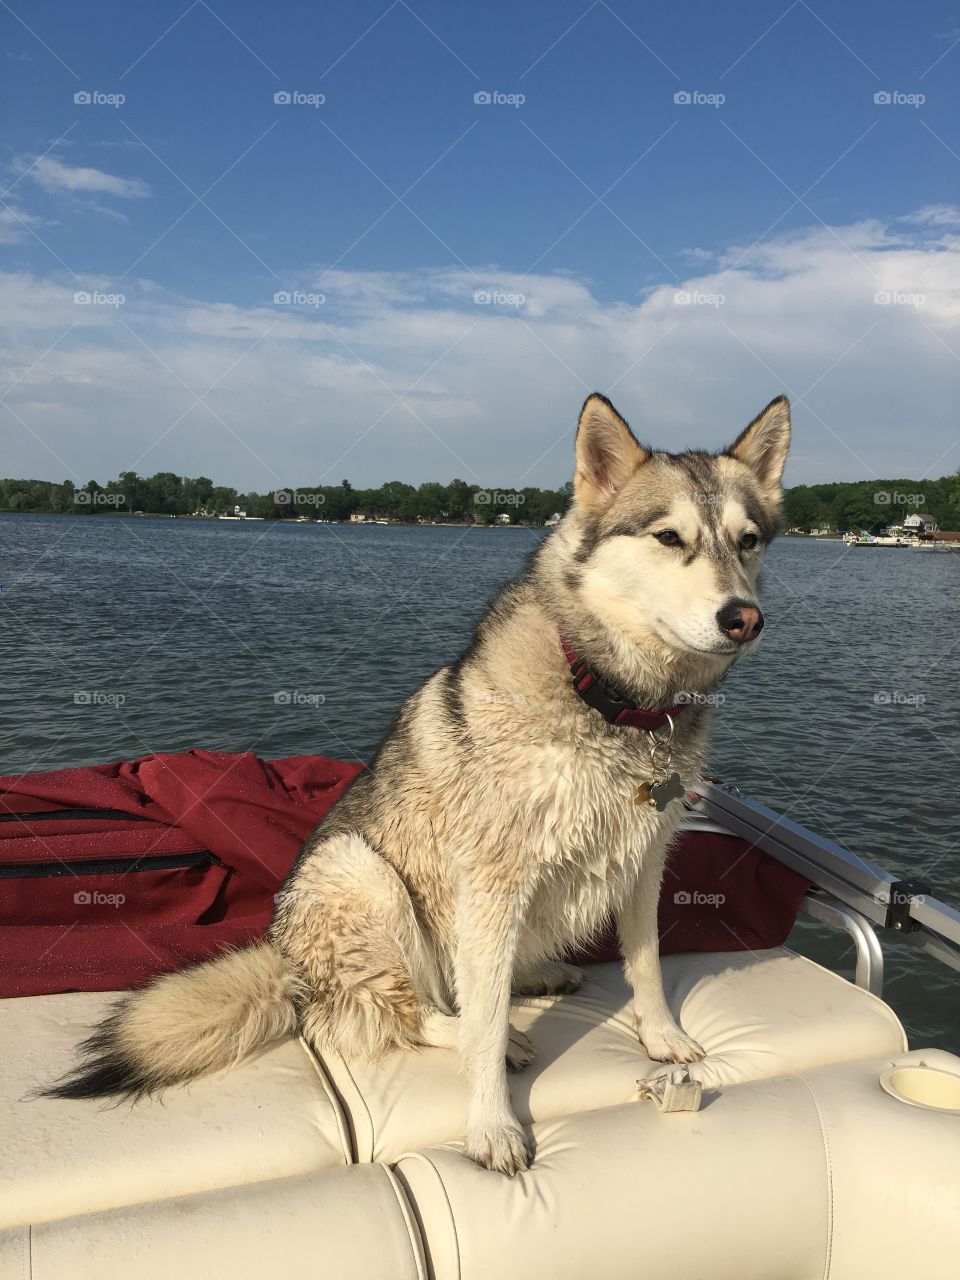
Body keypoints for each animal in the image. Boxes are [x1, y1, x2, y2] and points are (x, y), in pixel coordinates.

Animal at [48, 394, 793, 1172]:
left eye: (748, 541)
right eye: (669, 537)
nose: (743, 618)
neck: (614, 699)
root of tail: (288, 968)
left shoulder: (644, 859)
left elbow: (645, 962)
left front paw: (660, 1035)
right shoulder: (493, 880)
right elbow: (483, 1026)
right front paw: (492, 1122)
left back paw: (536, 974)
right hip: (362, 874)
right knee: (408, 1011)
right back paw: (488, 1029)